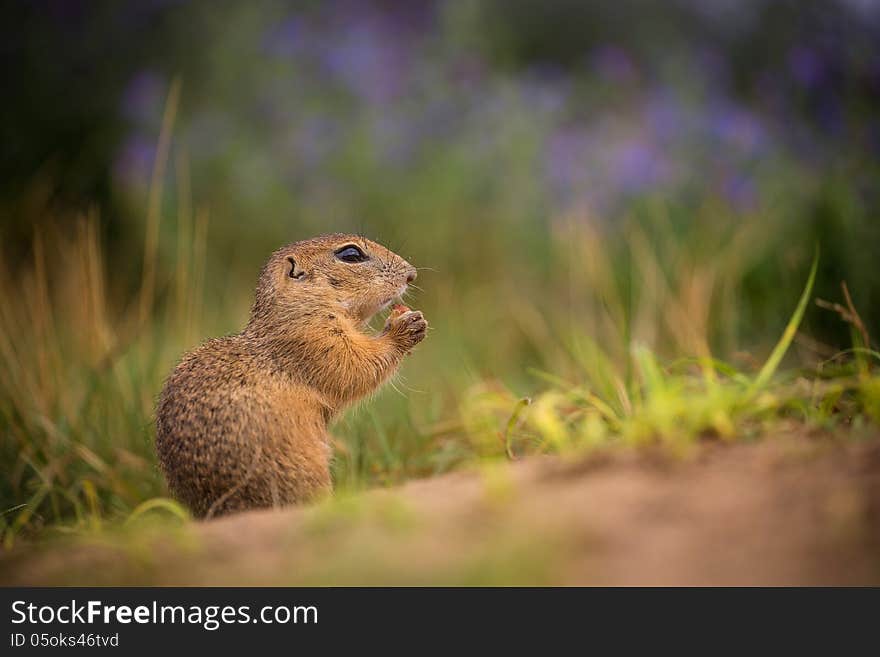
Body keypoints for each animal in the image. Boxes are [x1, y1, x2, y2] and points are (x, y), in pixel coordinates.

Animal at [156, 234, 428, 516]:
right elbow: (353, 365)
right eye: (351, 255)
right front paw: (403, 329)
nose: (412, 274)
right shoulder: (315, 339)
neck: (300, 308)